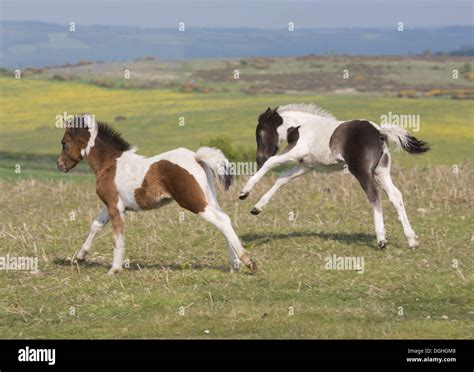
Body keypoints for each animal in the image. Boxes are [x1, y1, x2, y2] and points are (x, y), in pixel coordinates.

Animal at [57, 115, 258, 274]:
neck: (109, 164)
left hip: (192, 201)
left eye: (64, 143)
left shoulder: (114, 206)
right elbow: (96, 226)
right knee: (225, 219)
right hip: (209, 197)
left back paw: (248, 262)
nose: (60, 165)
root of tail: (196, 157)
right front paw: (79, 257)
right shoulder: (112, 205)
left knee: (221, 221)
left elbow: (117, 236)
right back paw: (234, 266)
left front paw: (114, 269)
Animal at [239, 104, 432, 250]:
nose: (258, 158)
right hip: (381, 171)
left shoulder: (296, 152)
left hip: (362, 170)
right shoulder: (306, 165)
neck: (300, 127)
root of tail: (380, 131)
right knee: (395, 196)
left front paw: (244, 192)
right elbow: (282, 180)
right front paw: (256, 208)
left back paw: (381, 240)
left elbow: (271, 163)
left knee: (374, 194)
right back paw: (412, 240)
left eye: (259, 134)